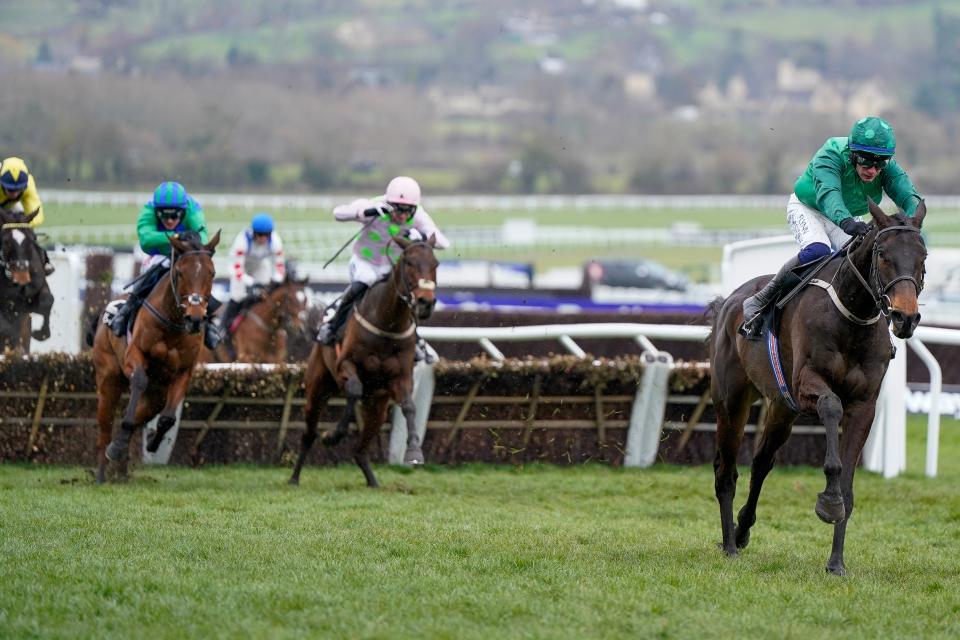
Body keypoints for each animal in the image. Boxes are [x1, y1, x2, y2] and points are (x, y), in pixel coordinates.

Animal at [89, 230, 218, 480]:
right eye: (179, 272)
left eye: (212, 272)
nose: (195, 319)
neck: (173, 324)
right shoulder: (135, 355)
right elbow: (139, 379)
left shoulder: (183, 371)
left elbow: (167, 418)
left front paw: (151, 443)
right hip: (109, 376)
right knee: (104, 425)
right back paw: (101, 473)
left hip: (156, 393)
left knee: (143, 411)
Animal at [290, 238, 440, 488]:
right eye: (409, 261)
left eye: (436, 263)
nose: (425, 302)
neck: (387, 324)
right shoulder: (346, 365)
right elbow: (353, 389)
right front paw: (333, 435)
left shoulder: (401, 378)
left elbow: (409, 406)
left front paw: (414, 451)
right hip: (317, 389)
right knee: (309, 434)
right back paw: (294, 477)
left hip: (377, 406)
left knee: (360, 450)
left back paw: (373, 482)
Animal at [708, 200, 928, 576]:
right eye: (882, 254)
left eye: (923, 255)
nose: (905, 317)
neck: (853, 316)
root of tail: (730, 302)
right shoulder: (806, 385)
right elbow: (830, 407)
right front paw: (829, 500)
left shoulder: (864, 405)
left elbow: (849, 487)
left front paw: (836, 562)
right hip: (732, 399)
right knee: (726, 471)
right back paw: (729, 546)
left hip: (781, 408)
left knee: (761, 464)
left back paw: (741, 531)